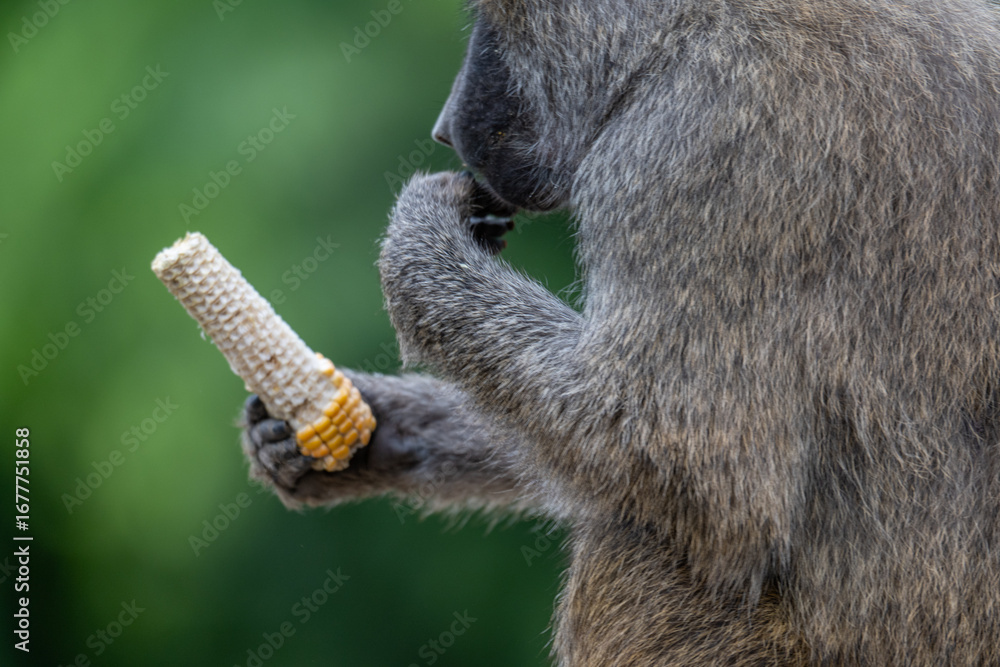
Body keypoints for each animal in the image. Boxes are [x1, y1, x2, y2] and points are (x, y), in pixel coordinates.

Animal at [243, 0, 1000, 663]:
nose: (444, 127)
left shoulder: (696, 151)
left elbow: (684, 462)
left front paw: (419, 243)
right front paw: (373, 428)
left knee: (633, 536)